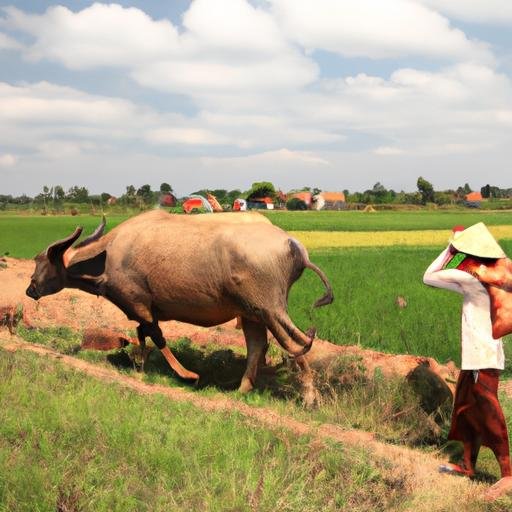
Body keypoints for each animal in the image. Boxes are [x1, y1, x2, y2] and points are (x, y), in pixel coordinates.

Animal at [27, 210, 332, 398]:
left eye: (40, 261)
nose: (30, 289)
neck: (109, 256)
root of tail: (293, 245)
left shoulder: (138, 304)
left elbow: (157, 337)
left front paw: (188, 375)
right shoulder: (143, 309)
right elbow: (142, 336)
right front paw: (141, 367)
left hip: (270, 310)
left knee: (295, 342)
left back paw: (309, 396)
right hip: (252, 313)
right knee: (260, 345)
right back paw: (243, 388)